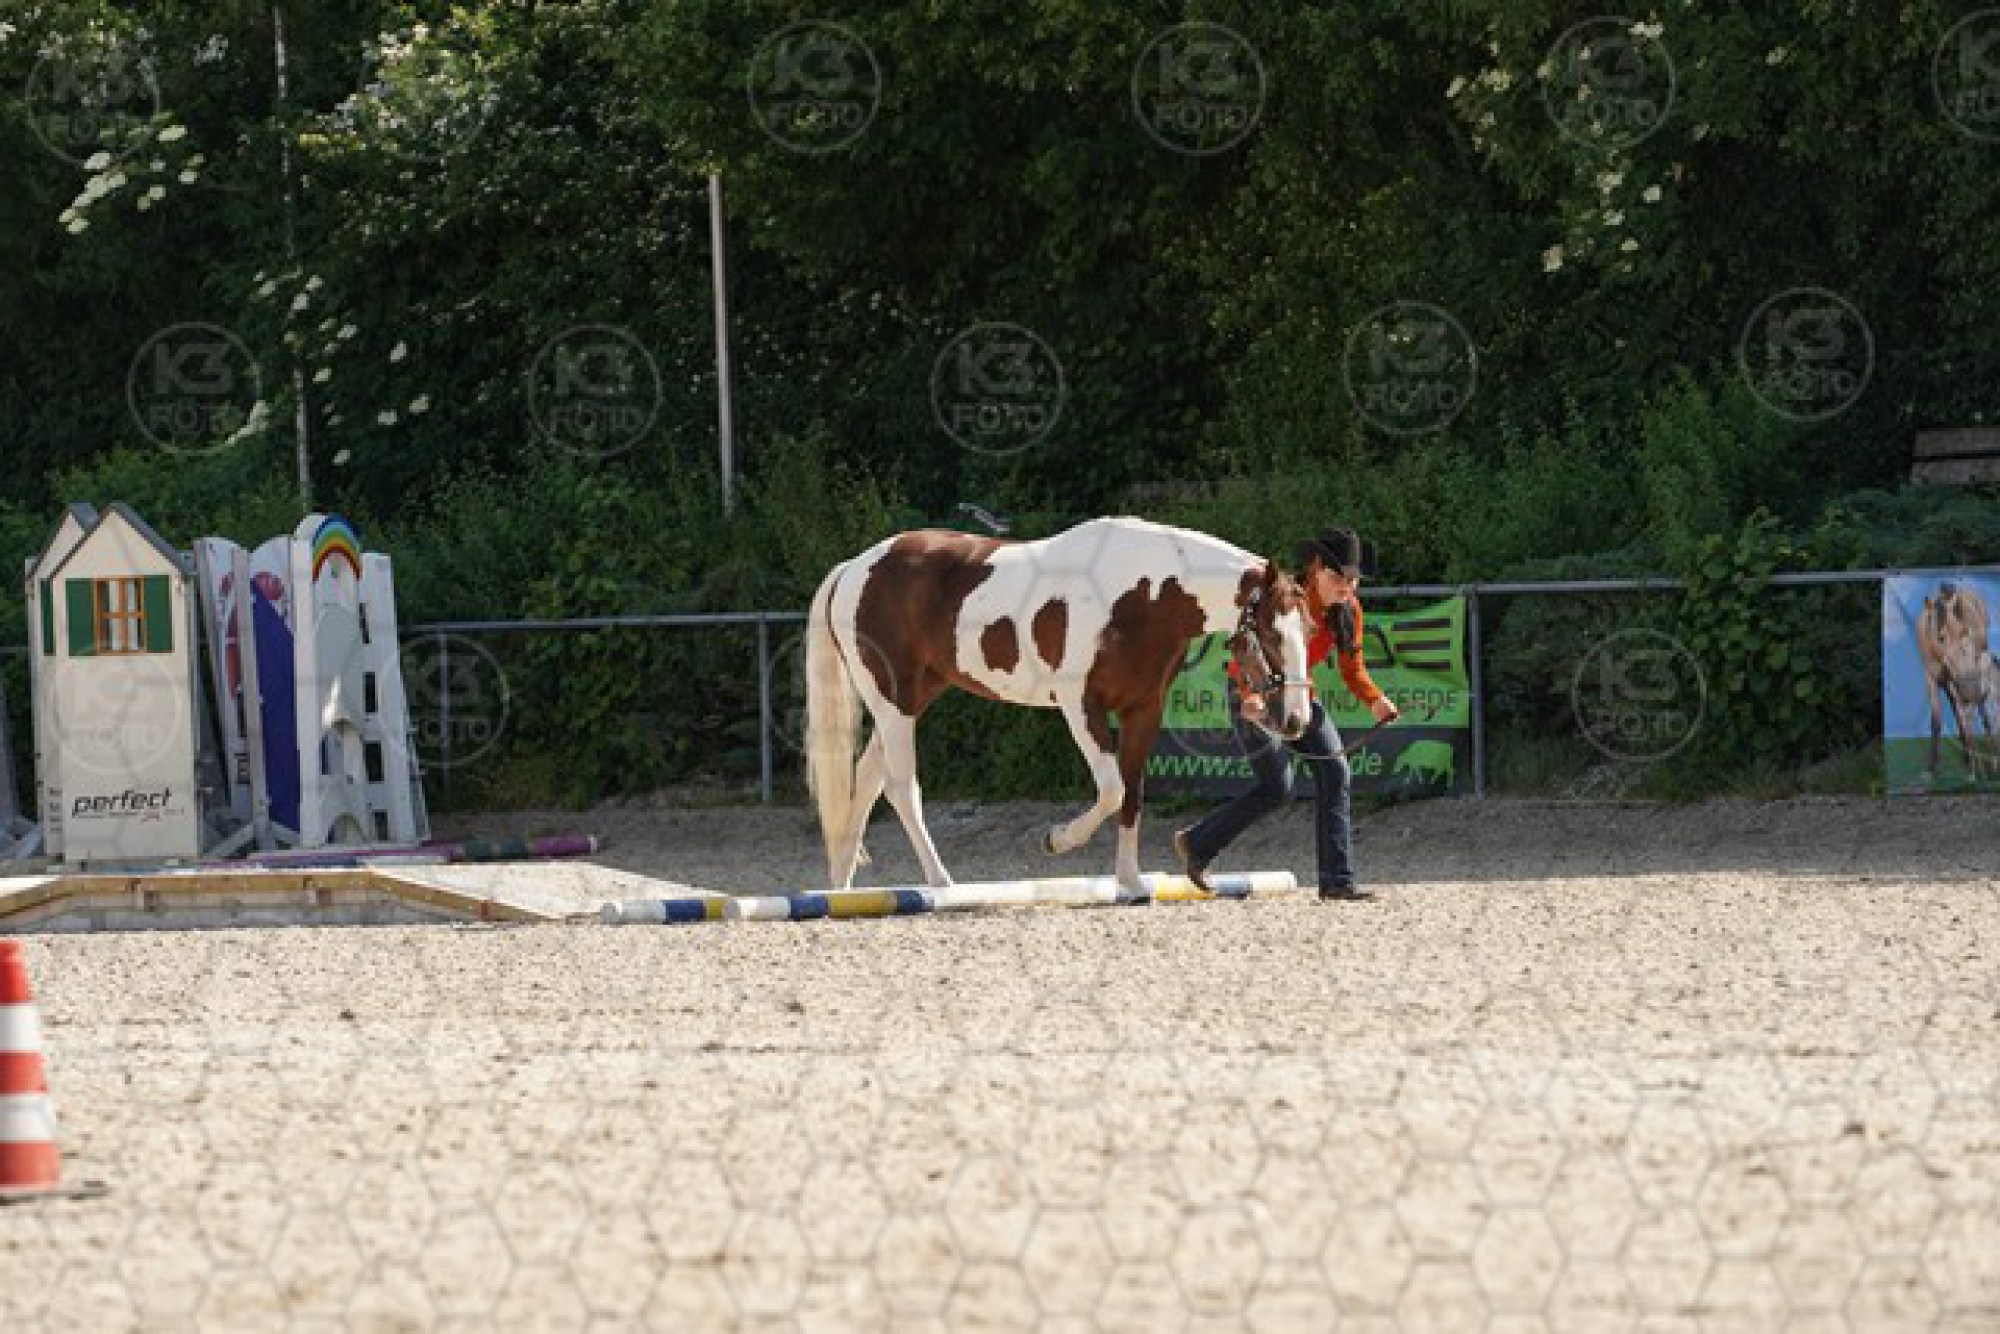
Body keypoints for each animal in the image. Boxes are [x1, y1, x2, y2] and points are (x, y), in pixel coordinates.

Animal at [804, 516, 1312, 891]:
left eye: (1307, 631)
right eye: (1271, 634)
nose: (1295, 720)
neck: (1142, 595)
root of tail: (854, 567)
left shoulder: (1143, 710)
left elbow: (1132, 794)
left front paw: (1131, 882)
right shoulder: (1080, 704)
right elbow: (1111, 789)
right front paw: (1058, 840)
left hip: (911, 698)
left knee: (867, 781)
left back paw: (841, 889)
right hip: (892, 700)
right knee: (901, 787)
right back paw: (942, 884)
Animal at [1917, 582, 2000, 780]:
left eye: (1964, 632)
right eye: (1941, 636)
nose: (1968, 686)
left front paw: (1974, 767)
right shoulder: (1931, 680)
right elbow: (1937, 721)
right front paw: (1931, 768)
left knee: (1983, 716)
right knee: (1961, 714)